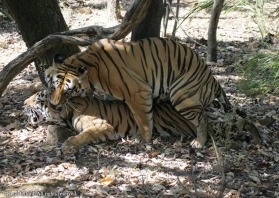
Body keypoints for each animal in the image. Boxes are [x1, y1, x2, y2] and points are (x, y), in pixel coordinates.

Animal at [24, 90, 262, 152]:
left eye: (38, 97)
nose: (22, 103)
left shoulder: (103, 125)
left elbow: (83, 135)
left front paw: (69, 145)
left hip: (211, 124)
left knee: (241, 122)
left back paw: (258, 137)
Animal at [44, 37, 232, 148]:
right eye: (53, 87)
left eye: (68, 92)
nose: (54, 105)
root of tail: (211, 76)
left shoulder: (137, 91)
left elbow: (143, 118)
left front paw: (143, 138)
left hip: (181, 96)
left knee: (202, 118)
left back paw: (199, 142)